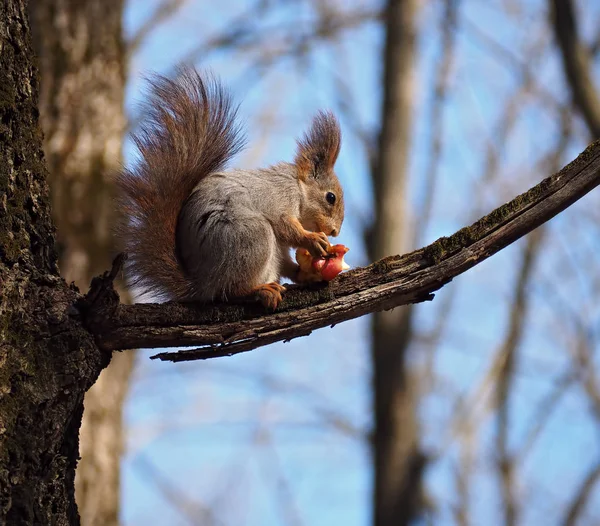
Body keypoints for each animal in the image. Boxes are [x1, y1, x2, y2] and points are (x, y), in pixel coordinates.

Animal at [115, 67, 344, 312]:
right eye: (330, 197)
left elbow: (287, 260)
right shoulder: (277, 198)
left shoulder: (282, 244)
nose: (334, 232)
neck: (297, 188)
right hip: (250, 237)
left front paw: (308, 272)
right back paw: (259, 290)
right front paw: (312, 239)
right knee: (229, 291)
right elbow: (285, 226)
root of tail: (203, 284)